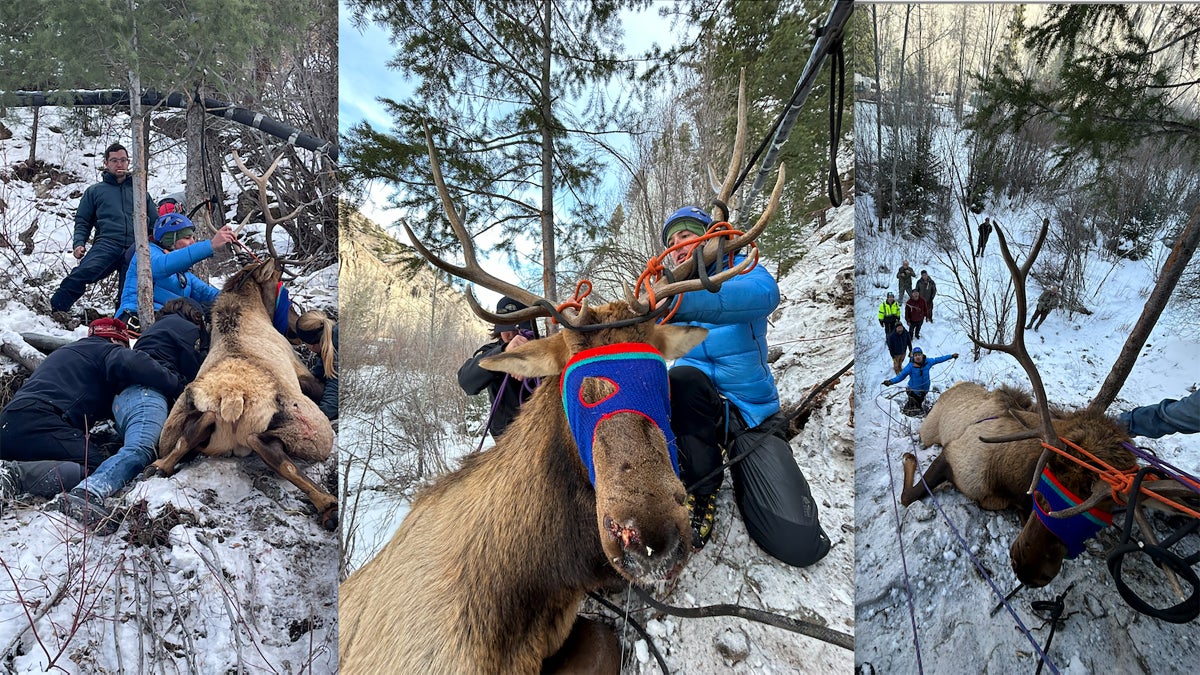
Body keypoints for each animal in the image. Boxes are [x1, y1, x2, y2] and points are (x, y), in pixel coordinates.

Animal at [149, 254, 340, 528]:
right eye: (280, 285)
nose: (294, 328)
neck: (244, 312)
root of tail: (233, 398)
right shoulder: (303, 372)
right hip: (316, 430)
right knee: (273, 451)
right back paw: (328, 506)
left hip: (171, 431)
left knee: (183, 441)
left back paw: (160, 464)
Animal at [902, 218, 1195, 586]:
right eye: (1041, 488)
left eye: (1103, 516)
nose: (1029, 570)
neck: (1007, 477)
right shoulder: (955, 456)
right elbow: (908, 495)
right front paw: (908, 461)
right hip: (929, 429)